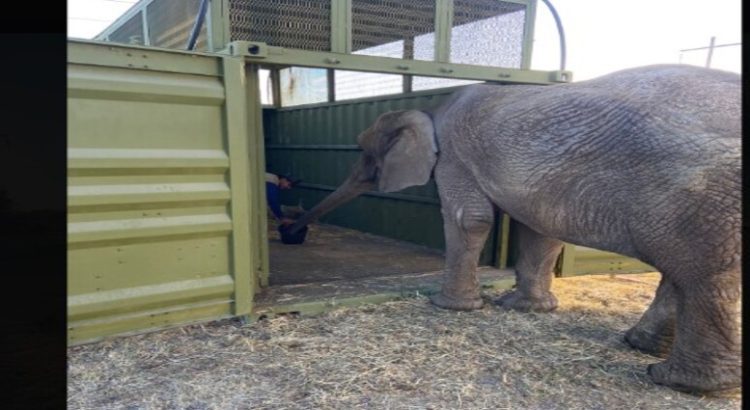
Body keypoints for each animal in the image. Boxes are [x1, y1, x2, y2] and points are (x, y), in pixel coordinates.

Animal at [290, 65, 744, 394]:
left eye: (365, 151)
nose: (293, 232)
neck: (432, 109)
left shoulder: (454, 155)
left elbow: (470, 218)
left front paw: (448, 307)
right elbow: (540, 229)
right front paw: (524, 309)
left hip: (701, 196)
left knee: (702, 275)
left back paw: (680, 383)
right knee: (683, 272)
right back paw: (644, 351)